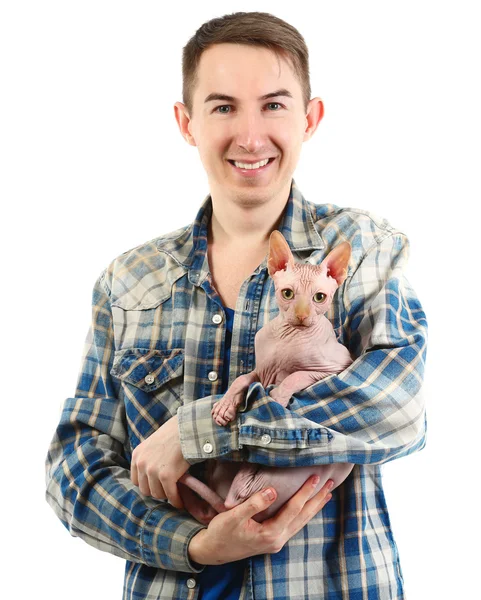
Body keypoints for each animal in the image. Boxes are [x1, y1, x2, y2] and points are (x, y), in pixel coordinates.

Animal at [176, 232, 352, 524]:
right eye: (288, 293)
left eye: (319, 297)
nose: (302, 316)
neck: (289, 337)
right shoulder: (261, 369)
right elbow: (242, 379)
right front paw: (224, 407)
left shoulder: (336, 366)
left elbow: (296, 375)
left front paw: (278, 396)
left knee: (235, 496)